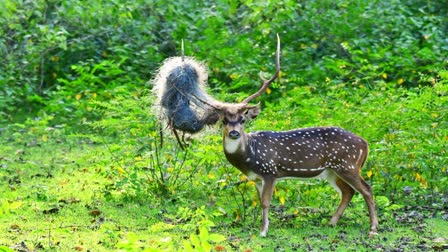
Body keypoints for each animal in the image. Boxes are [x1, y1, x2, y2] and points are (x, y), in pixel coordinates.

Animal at [214, 35, 378, 238]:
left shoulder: (270, 171)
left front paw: (263, 232)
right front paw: (261, 228)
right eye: (224, 121)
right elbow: (259, 202)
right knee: (348, 192)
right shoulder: (257, 178)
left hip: (348, 164)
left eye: (242, 119)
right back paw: (331, 223)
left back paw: (373, 229)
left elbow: (266, 202)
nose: (234, 133)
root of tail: (365, 144)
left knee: (367, 189)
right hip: (332, 170)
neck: (249, 157)